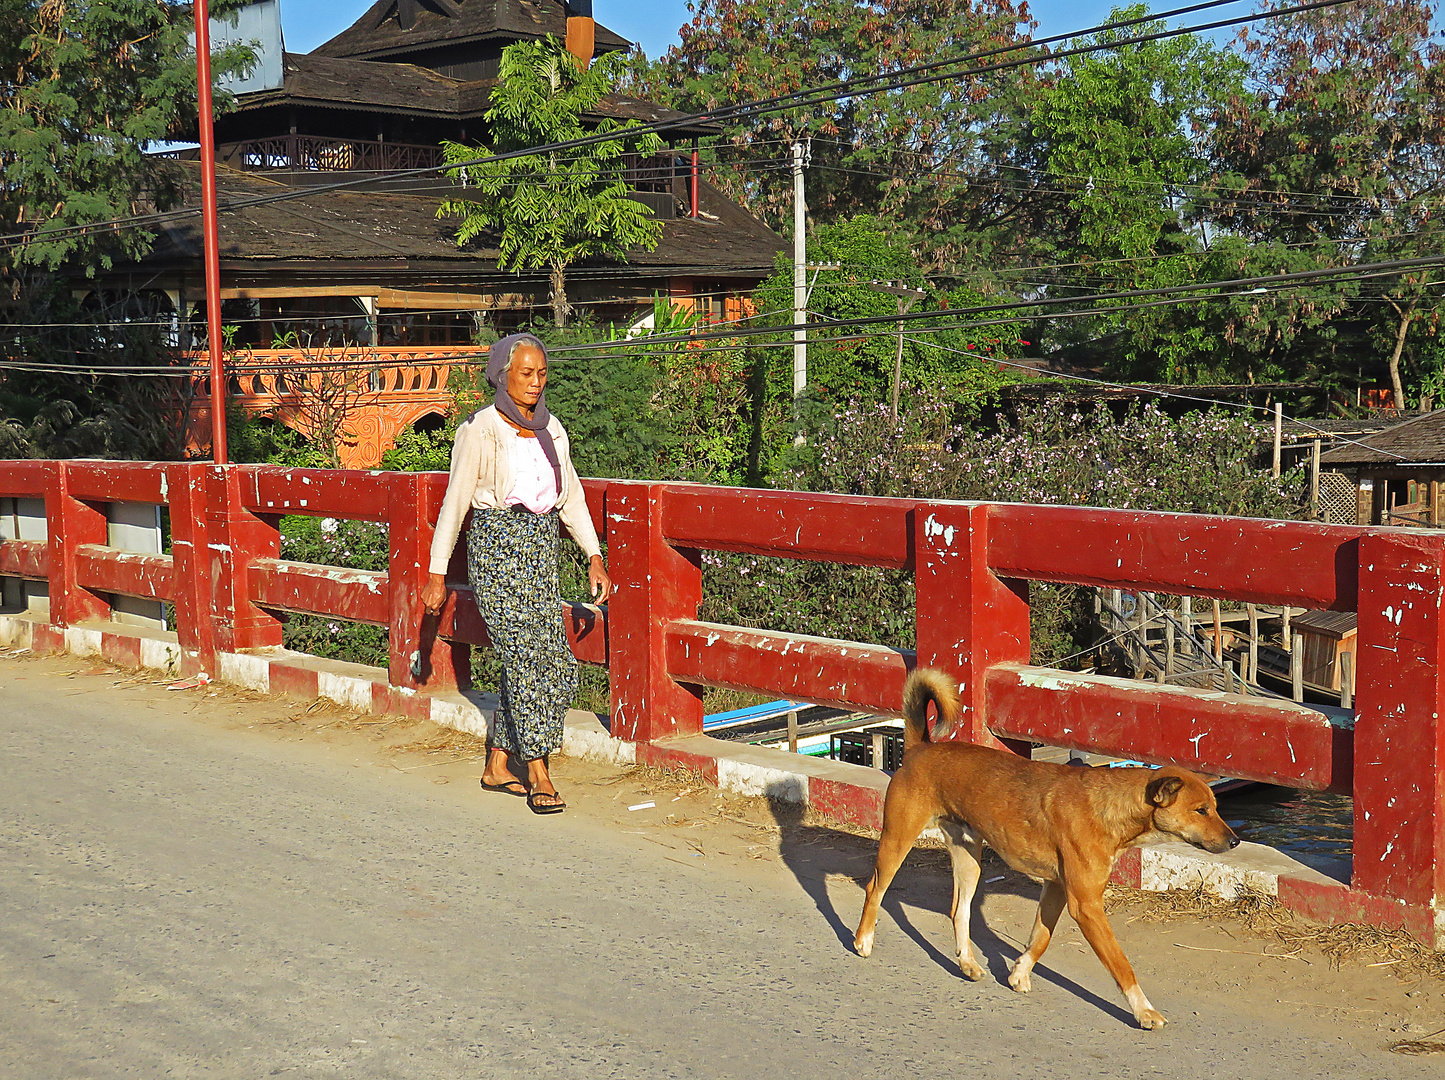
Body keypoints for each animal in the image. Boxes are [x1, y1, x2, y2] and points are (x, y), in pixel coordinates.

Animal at [849, 667, 1236, 1029]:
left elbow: (1040, 938)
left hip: (969, 858)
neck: (1111, 807)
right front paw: (1144, 1011)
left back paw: (967, 962)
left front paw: (1019, 972)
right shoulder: (1086, 905)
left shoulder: (1057, 889)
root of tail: (920, 747)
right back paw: (863, 941)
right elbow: (1121, 965)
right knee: (874, 888)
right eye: (1201, 810)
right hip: (898, 838)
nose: (1234, 840)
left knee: (959, 910)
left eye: (1215, 807)